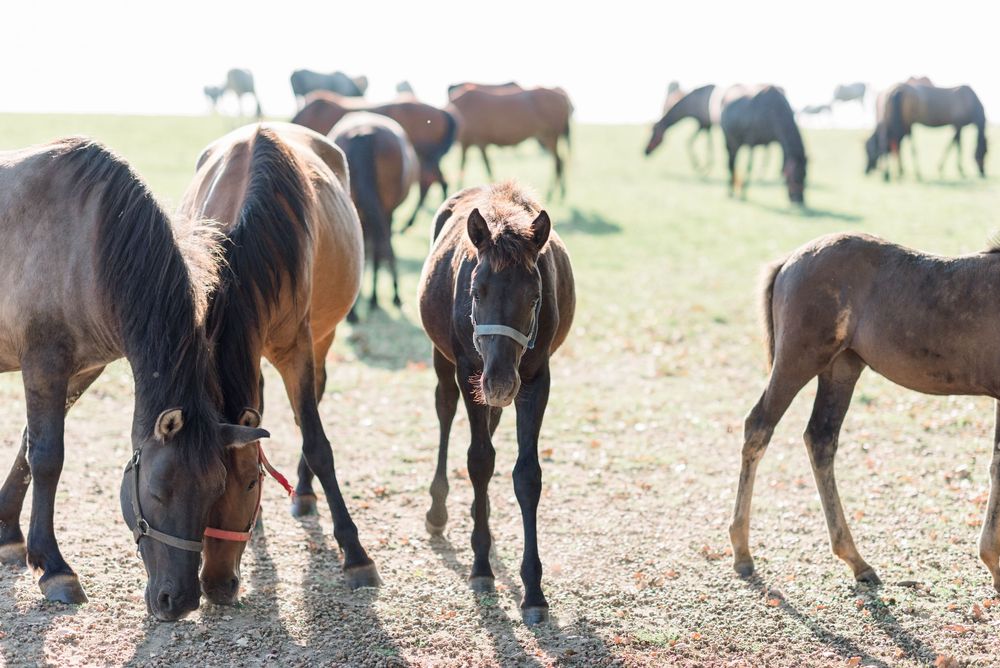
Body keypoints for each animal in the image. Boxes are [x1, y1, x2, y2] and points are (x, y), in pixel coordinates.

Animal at [0, 137, 266, 620]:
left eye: (215, 491)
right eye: (158, 492)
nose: (178, 601)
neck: (86, 244)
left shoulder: (81, 371)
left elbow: (28, 448)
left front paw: (7, 532)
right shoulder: (44, 365)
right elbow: (47, 457)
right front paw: (54, 568)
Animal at [179, 123, 379, 604]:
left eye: (251, 483)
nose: (215, 585)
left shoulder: (297, 348)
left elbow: (317, 442)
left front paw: (355, 552)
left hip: (322, 335)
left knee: (315, 402)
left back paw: (304, 491)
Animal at [417, 182, 575, 625]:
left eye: (535, 296)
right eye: (475, 292)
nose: (502, 382)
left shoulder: (536, 380)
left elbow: (527, 476)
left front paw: (534, 590)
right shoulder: (469, 370)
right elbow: (479, 461)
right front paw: (481, 566)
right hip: (449, 364)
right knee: (445, 410)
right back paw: (440, 511)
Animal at [731, 232, 1000, 595]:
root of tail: (789, 261)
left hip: (841, 368)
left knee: (820, 438)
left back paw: (856, 561)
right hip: (798, 359)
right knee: (759, 427)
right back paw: (742, 552)